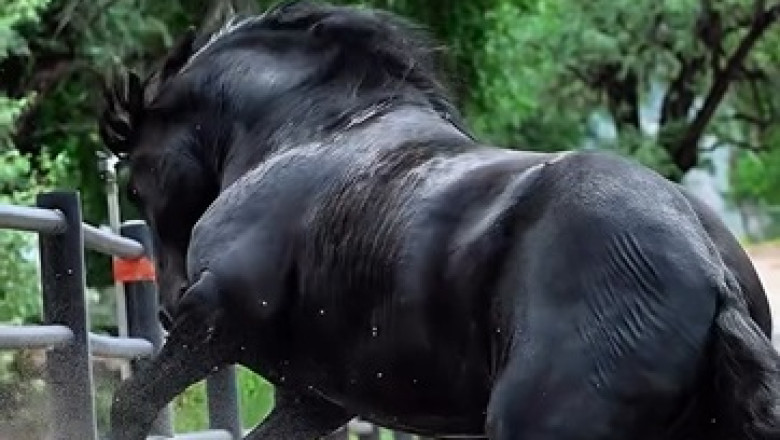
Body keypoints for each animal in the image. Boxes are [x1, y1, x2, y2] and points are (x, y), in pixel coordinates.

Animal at [98, 2, 780, 439]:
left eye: (135, 182)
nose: (168, 303)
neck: (308, 131)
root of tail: (712, 273)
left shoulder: (215, 320)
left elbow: (130, 403)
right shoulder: (314, 402)